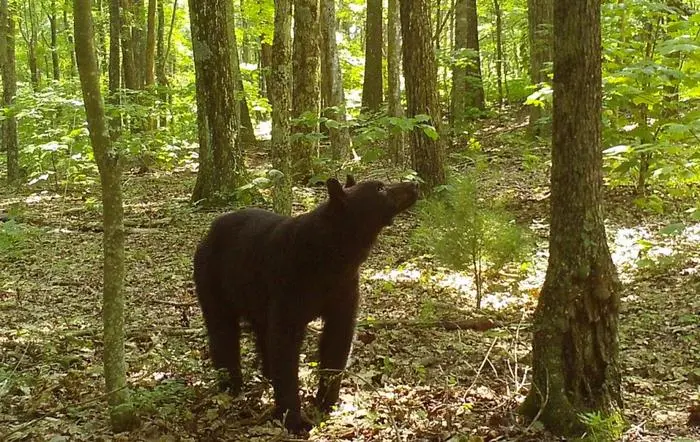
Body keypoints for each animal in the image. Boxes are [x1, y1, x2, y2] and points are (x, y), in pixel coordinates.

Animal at [193, 175, 419, 435]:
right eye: (379, 188)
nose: (414, 185)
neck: (333, 257)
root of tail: (208, 232)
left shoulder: (344, 293)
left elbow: (336, 344)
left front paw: (327, 402)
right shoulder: (290, 290)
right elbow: (285, 349)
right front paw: (294, 419)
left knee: (262, 335)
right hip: (213, 281)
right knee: (223, 332)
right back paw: (231, 384)